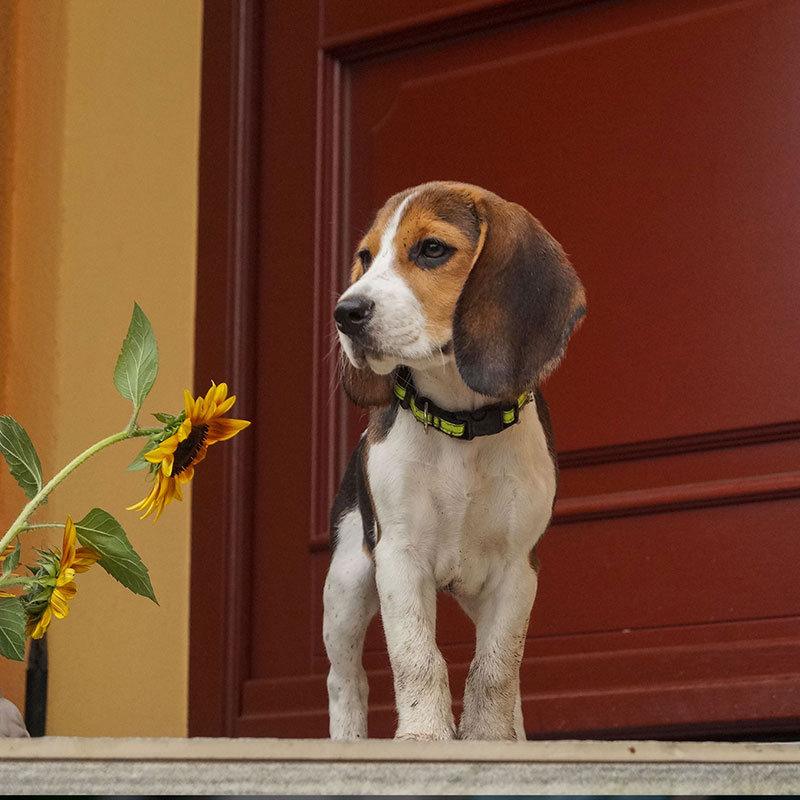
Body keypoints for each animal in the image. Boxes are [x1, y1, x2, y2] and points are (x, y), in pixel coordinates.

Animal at [324, 180, 588, 736]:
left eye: (432, 249)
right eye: (366, 256)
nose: (345, 312)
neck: (461, 423)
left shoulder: (517, 569)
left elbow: (495, 671)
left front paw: (487, 739)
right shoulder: (399, 557)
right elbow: (418, 659)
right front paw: (424, 736)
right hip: (347, 578)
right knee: (345, 680)